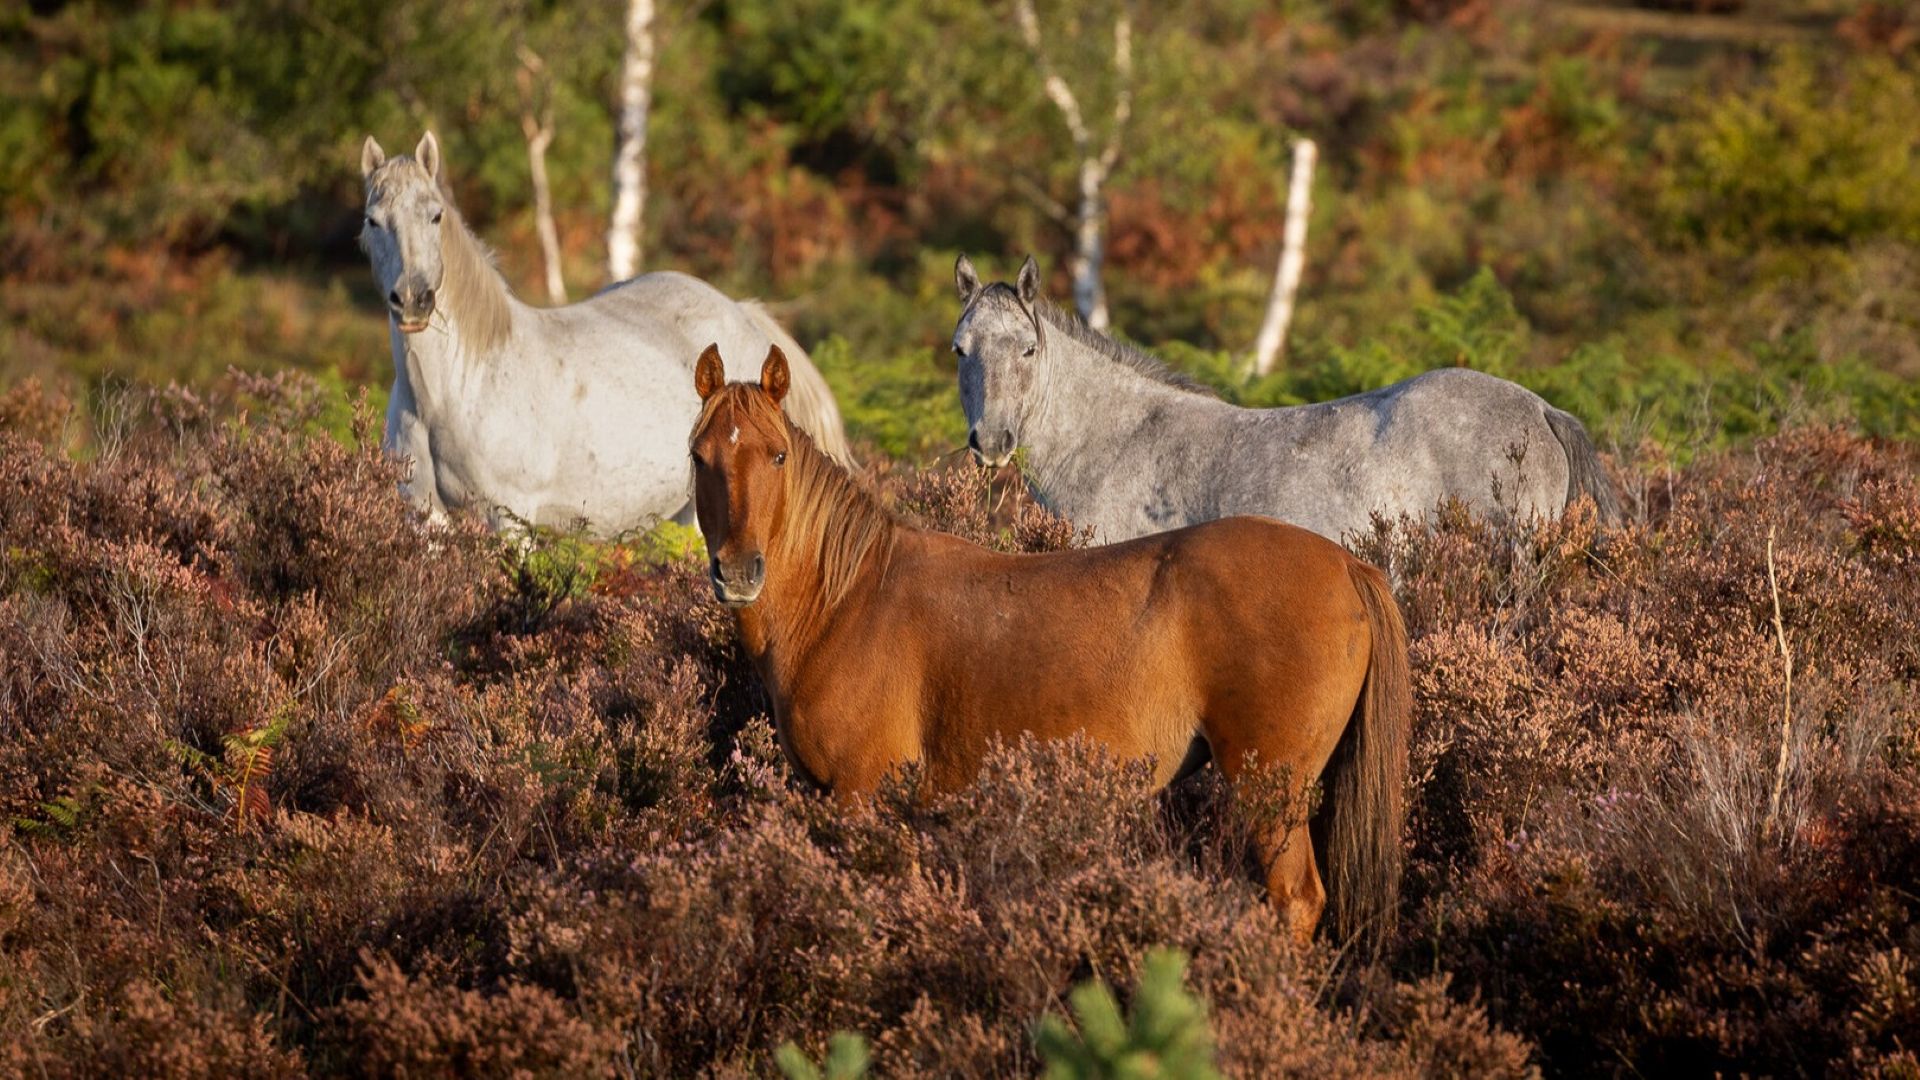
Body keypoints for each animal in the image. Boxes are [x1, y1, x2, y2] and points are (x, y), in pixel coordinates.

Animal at [357, 131, 850, 535]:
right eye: (373, 220)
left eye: (436, 216)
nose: (413, 299)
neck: (454, 391)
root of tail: (742, 314)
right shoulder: (424, 517)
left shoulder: (509, 523)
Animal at [688, 342, 1413, 946]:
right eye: (700, 456)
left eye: (778, 455)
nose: (739, 572)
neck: (849, 601)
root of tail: (1348, 564)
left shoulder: (861, 797)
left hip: (1271, 792)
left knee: (1295, 900)